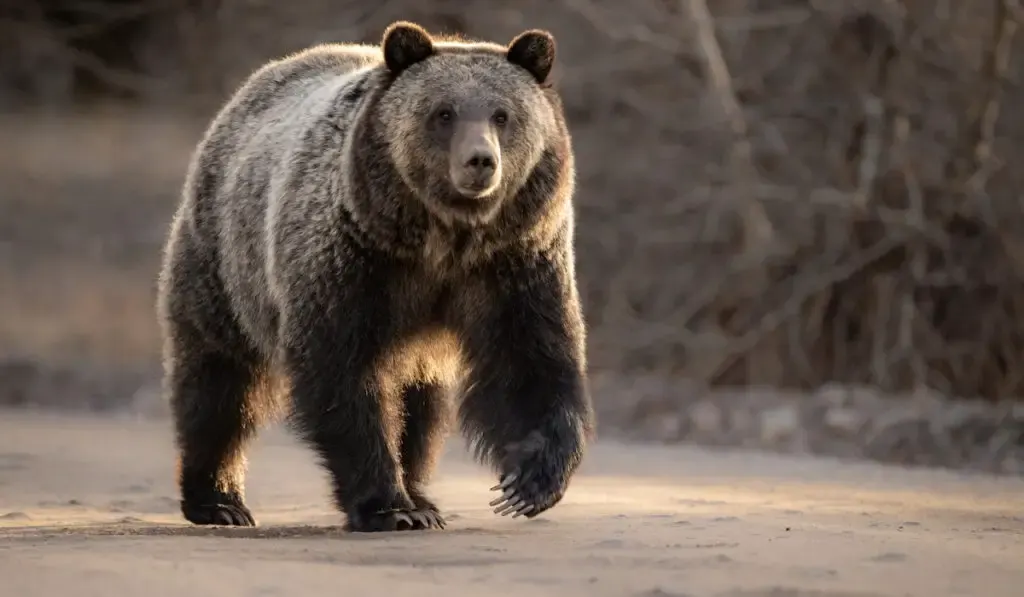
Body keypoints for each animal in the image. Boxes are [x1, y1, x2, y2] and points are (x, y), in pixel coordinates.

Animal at [155, 19, 598, 532]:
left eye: (503, 114)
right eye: (443, 112)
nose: (480, 161)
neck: (445, 238)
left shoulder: (513, 262)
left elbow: (530, 360)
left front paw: (528, 482)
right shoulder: (356, 260)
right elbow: (343, 374)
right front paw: (390, 506)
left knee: (421, 407)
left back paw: (423, 493)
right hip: (224, 263)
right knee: (219, 379)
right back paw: (218, 499)